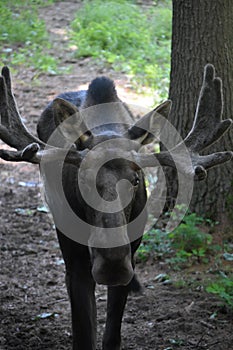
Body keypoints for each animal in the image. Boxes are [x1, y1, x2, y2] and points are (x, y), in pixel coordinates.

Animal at [0, 63, 232, 350]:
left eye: (136, 179)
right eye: (83, 179)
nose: (112, 264)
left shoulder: (131, 254)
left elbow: (112, 336)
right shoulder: (76, 261)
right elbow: (84, 334)